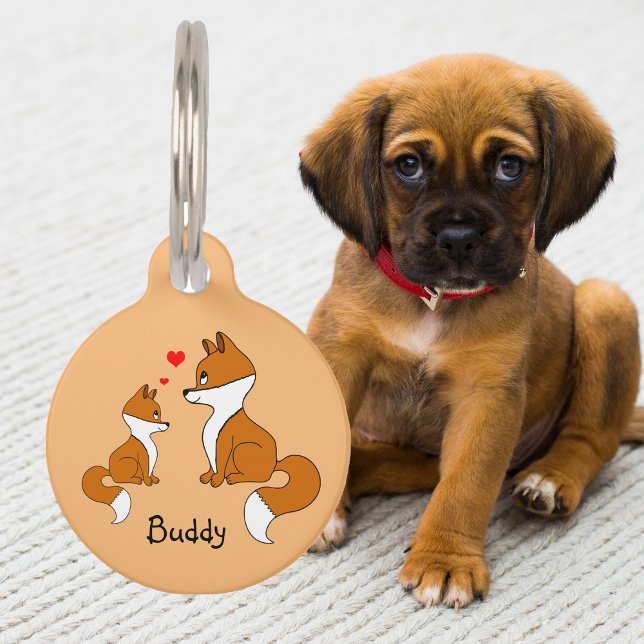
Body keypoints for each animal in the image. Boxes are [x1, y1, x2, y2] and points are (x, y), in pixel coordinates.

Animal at [81, 384, 170, 525]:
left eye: (160, 414)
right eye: (155, 414)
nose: (167, 424)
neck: (146, 439)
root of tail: (110, 471)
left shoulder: (152, 462)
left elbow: (151, 472)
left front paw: (154, 480)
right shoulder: (143, 458)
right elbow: (146, 473)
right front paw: (148, 483)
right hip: (130, 462)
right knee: (118, 480)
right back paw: (136, 480)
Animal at [183, 332, 321, 544]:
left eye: (204, 376)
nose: (185, 391)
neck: (219, 416)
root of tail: (275, 463)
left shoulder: (225, 444)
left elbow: (219, 466)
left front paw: (217, 481)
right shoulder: (210, 448)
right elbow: (211, 465)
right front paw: (207, 477)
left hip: (243, 449)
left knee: (261, 478)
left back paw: (235, 478)